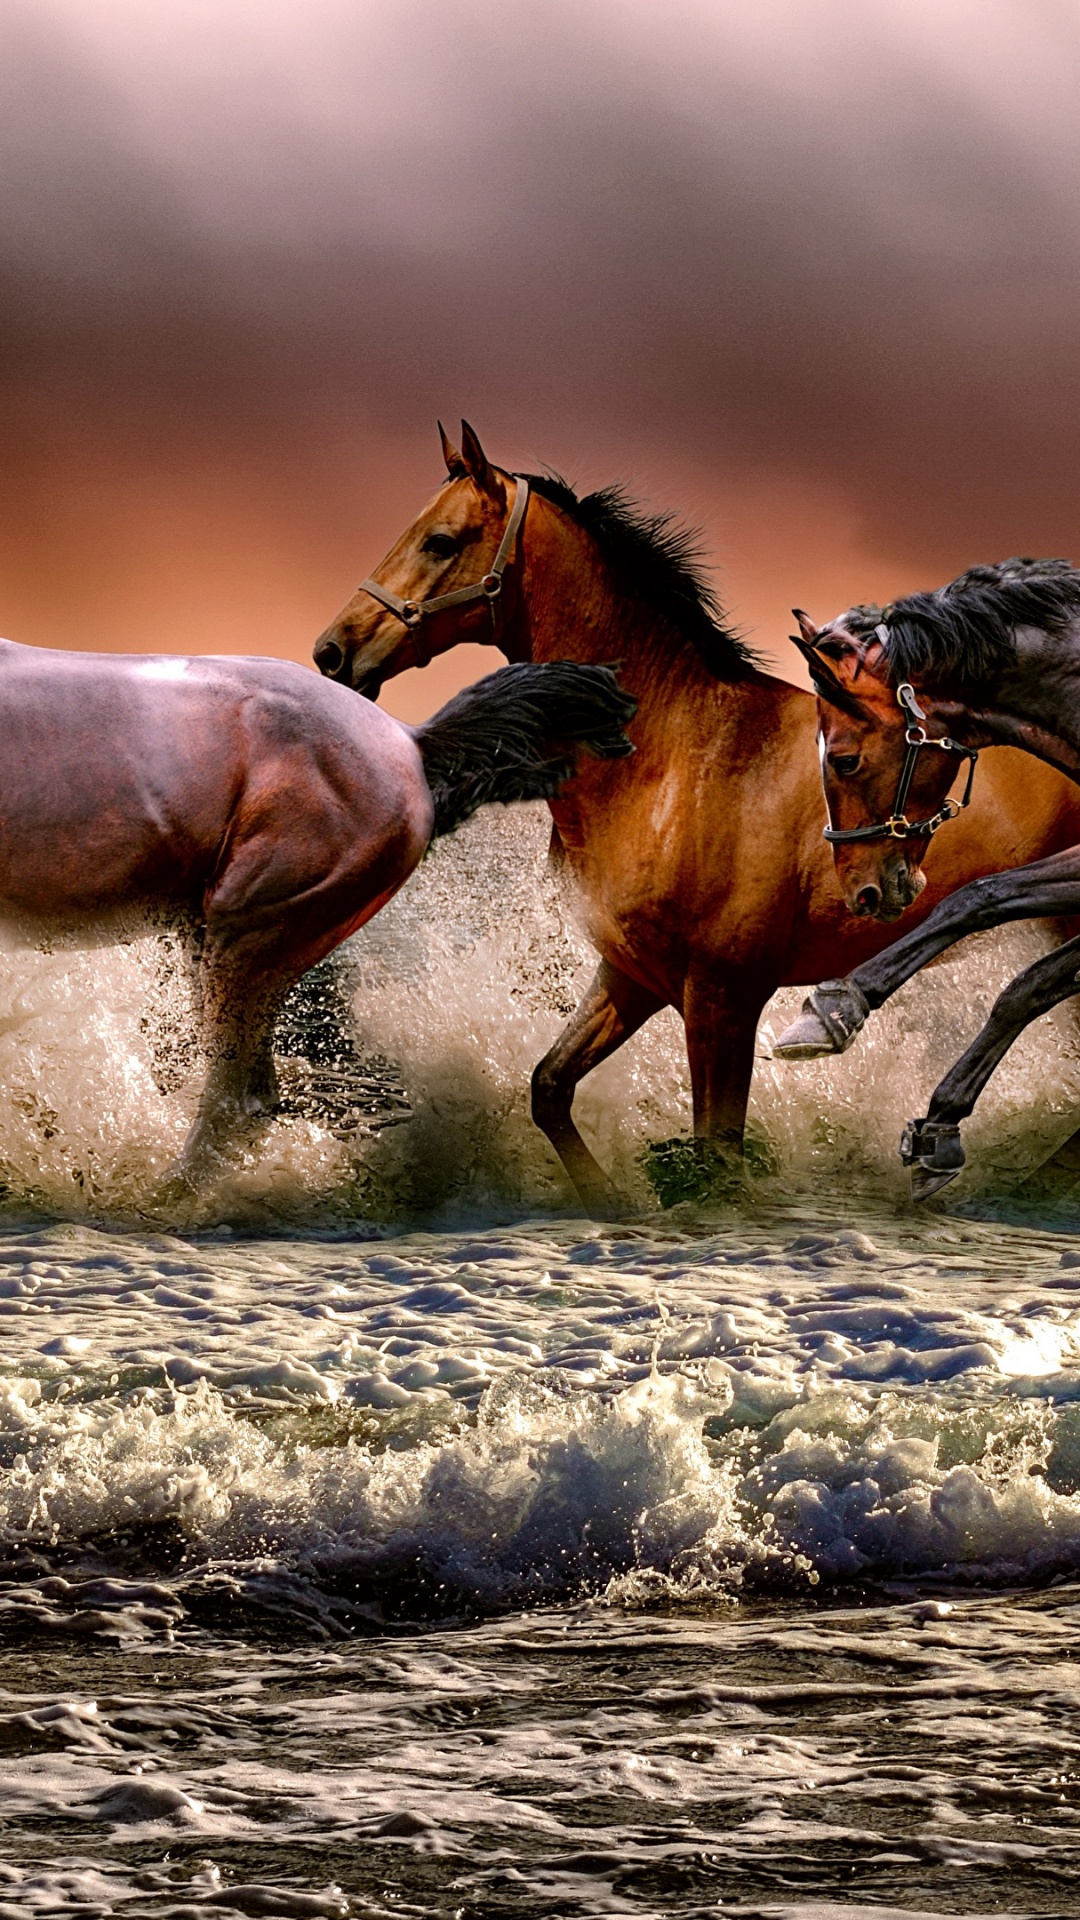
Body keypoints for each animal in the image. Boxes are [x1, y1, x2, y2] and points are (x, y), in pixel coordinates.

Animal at [774, 559, 1080, 1196]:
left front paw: (835, 1007)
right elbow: (1028, 981)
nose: (861, 890)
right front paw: (940, 1126)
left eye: (844, 759)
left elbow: (982, 898)